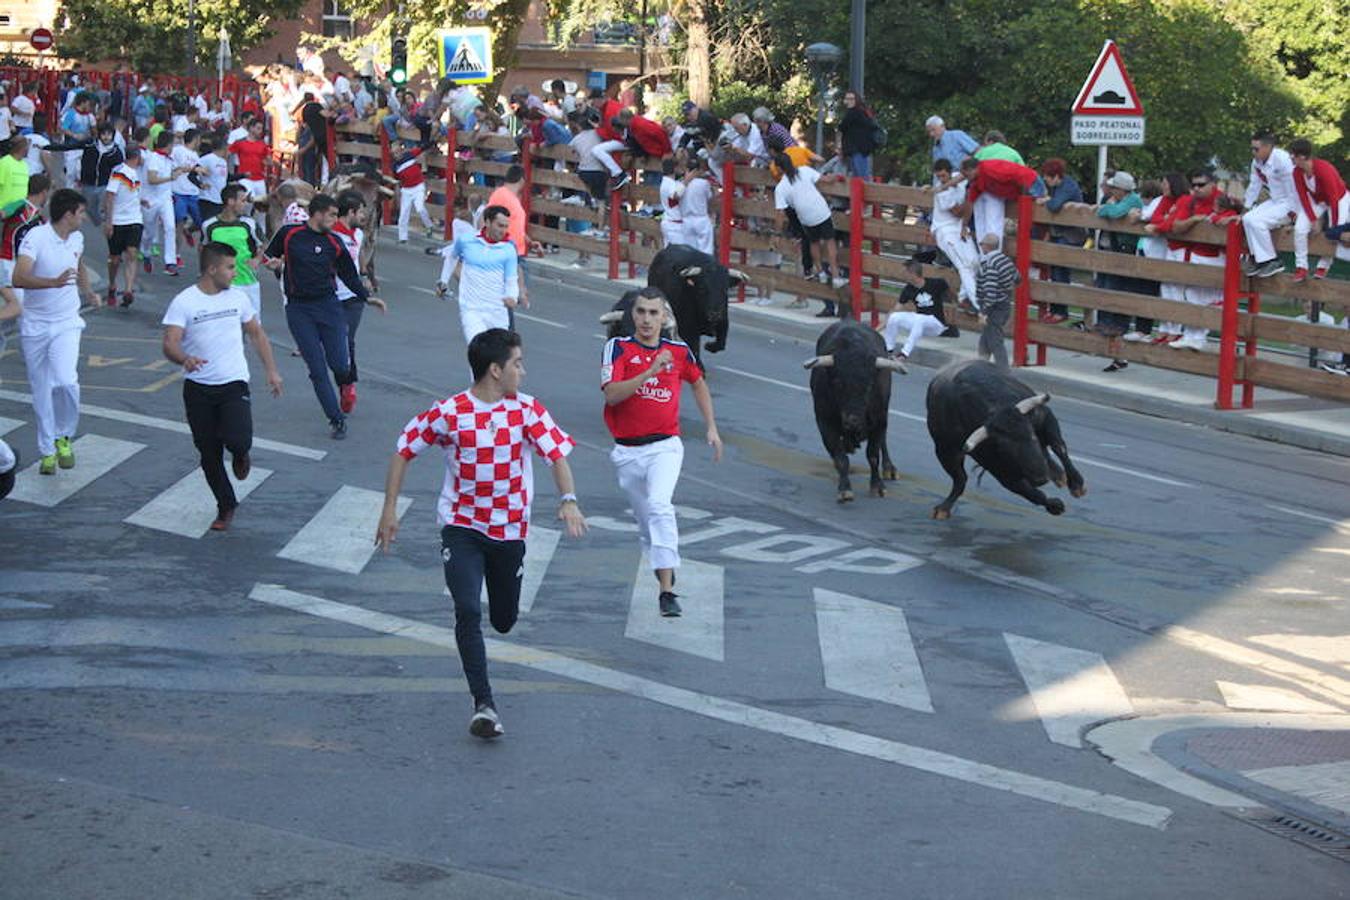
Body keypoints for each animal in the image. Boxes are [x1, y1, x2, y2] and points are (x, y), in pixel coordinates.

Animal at [799, 319, 907, 504]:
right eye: (837, 383)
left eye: (869, 385)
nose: (852, 420)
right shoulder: (824, 422)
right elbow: (840, 458)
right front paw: (845, 489)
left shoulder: (879, 420)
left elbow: (873, 454)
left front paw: (878, 486)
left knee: (883, 442)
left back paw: (889, 468)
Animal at [928, 356, 1085, 518]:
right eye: (1005, 449)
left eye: (1032, 435)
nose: (1040, 478)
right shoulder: (1000, 470)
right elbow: (1030, 493)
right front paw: (1055, 506)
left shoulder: (1045, 417)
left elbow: (1059, 447)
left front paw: (1077, 485)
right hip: (945, 453)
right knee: (960, 479)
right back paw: (943, 508)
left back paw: (1059, 475)